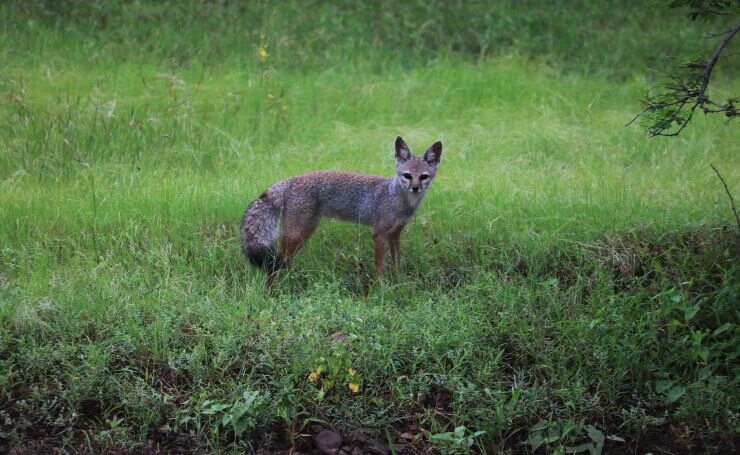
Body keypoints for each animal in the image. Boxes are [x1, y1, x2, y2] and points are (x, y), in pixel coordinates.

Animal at [240, 134, 442, 284]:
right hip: (298, 233)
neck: (396, 197)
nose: (415, 188)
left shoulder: (395, 235)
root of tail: (290, 179)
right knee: (276, 265)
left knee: (285, 262)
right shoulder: (378, 234)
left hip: (301, 234)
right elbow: (381, 268)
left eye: (423, 177)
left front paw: (401, 285)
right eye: (407, 175)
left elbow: (398, 265)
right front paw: (382, 290)